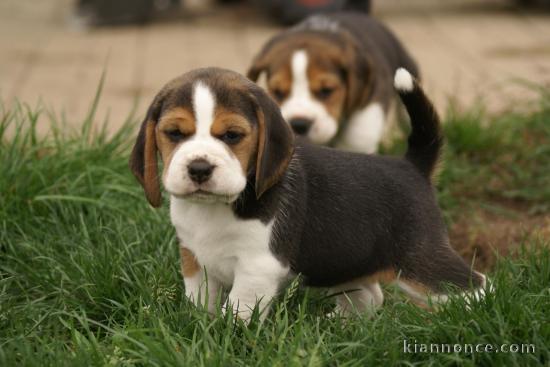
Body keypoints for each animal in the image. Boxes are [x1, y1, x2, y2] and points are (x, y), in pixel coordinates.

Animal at [129, 67, 488, 324]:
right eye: (174, 133)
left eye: (232, 135)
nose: (199, 168)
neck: (218, 207)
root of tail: (412, 166)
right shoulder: (193, 258)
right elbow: (200, 301)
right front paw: (197, 329)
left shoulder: (258, 267)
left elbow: (238, 311)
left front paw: (226, 338)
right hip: (349, 263)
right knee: (371, 298)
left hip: (421, 262)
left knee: (478, 287)